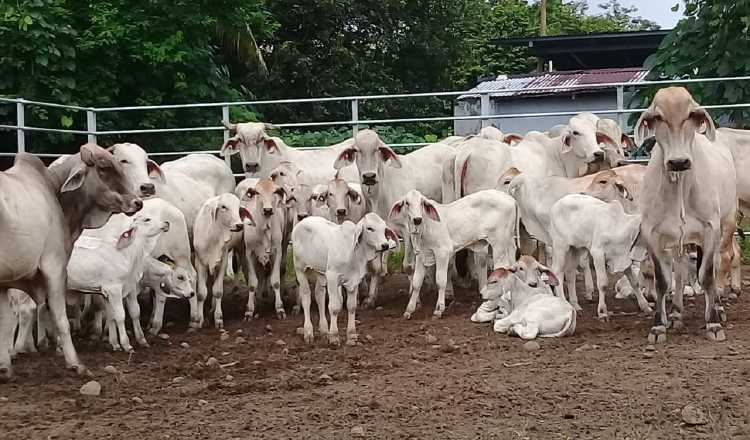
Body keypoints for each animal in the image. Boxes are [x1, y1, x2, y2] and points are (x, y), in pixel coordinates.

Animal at [390, 189, 520, 320]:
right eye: (407, 203)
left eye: (422, 202)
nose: (417, 219)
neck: (426, 227)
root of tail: (511, 199)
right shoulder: (422, 255)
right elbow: (417, 282)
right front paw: (409, 310)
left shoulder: (442, 253)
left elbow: (440, 281)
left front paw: (438, 310)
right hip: (509, 241)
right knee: (512, 263)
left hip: (499, 244)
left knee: (501, 267)